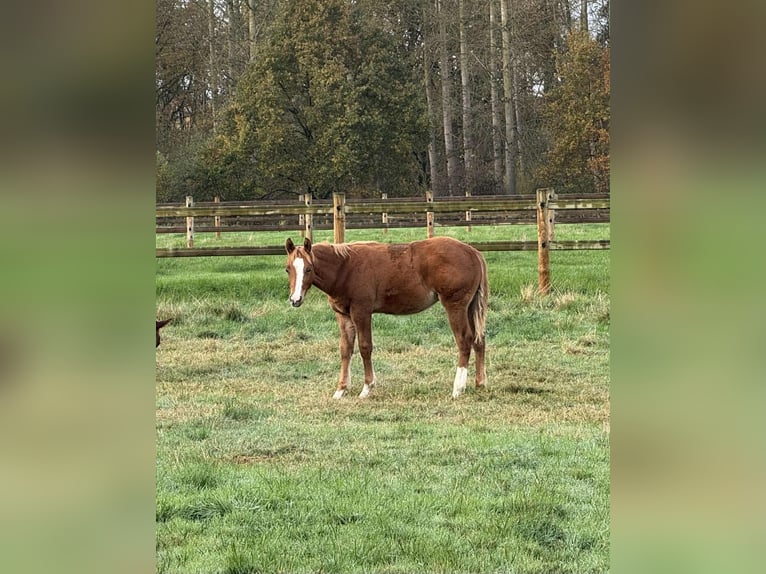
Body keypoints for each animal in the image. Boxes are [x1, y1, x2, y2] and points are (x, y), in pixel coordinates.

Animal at [284, 236, 488, 399]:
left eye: (309, 269)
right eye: (288, 269)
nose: (295, 299)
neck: (345, 268)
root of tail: (472, 252)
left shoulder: (362, 312)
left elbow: (365, 347)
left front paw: (367, 388)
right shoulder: (343, 316)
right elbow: (345, 349)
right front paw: (341, 390)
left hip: (455, 306)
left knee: (464, 341)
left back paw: (458, 389)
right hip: (470, 307)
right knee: (479, 339)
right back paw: (480, 383)